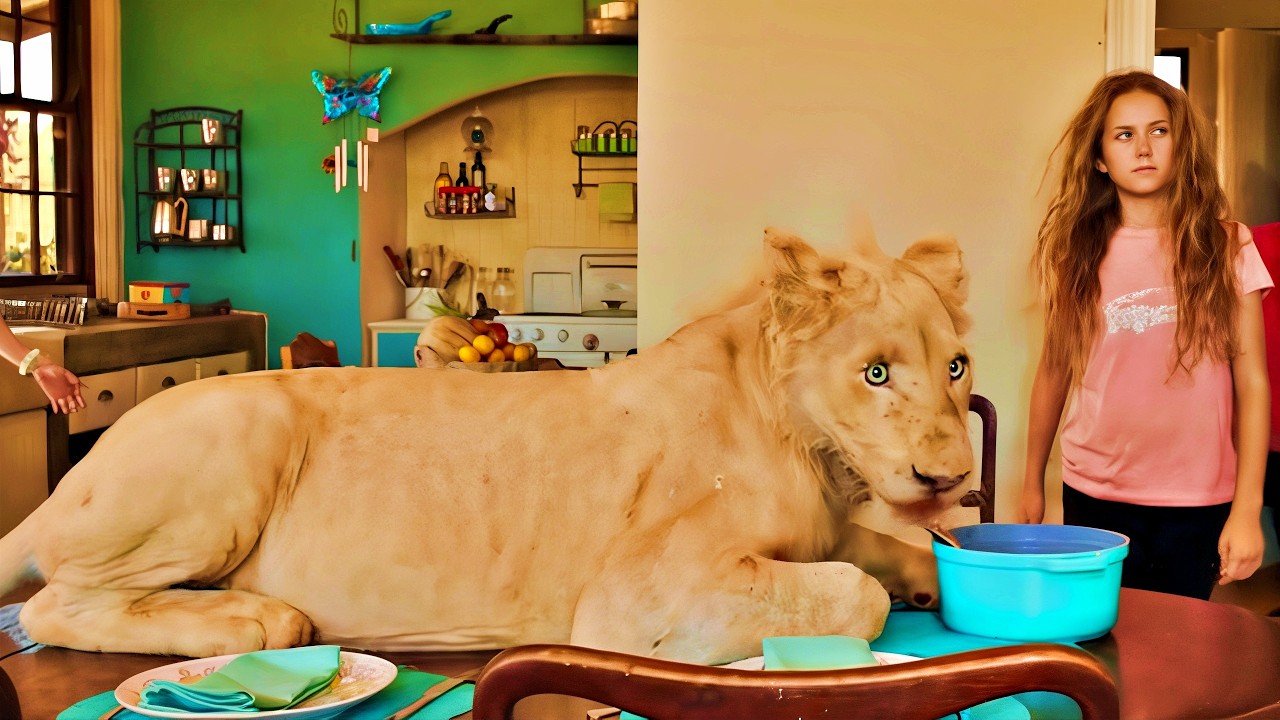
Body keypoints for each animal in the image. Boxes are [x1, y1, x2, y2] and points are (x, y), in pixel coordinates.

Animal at [0, 228, 974, 665]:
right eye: (876, 373)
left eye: (958, 367)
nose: (954, 476)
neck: (815, 451)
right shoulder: (638, 601)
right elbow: (852, 592)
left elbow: (885, 547)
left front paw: (928, 569)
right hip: (238, 438)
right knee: (53, 606)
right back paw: (261, 621)